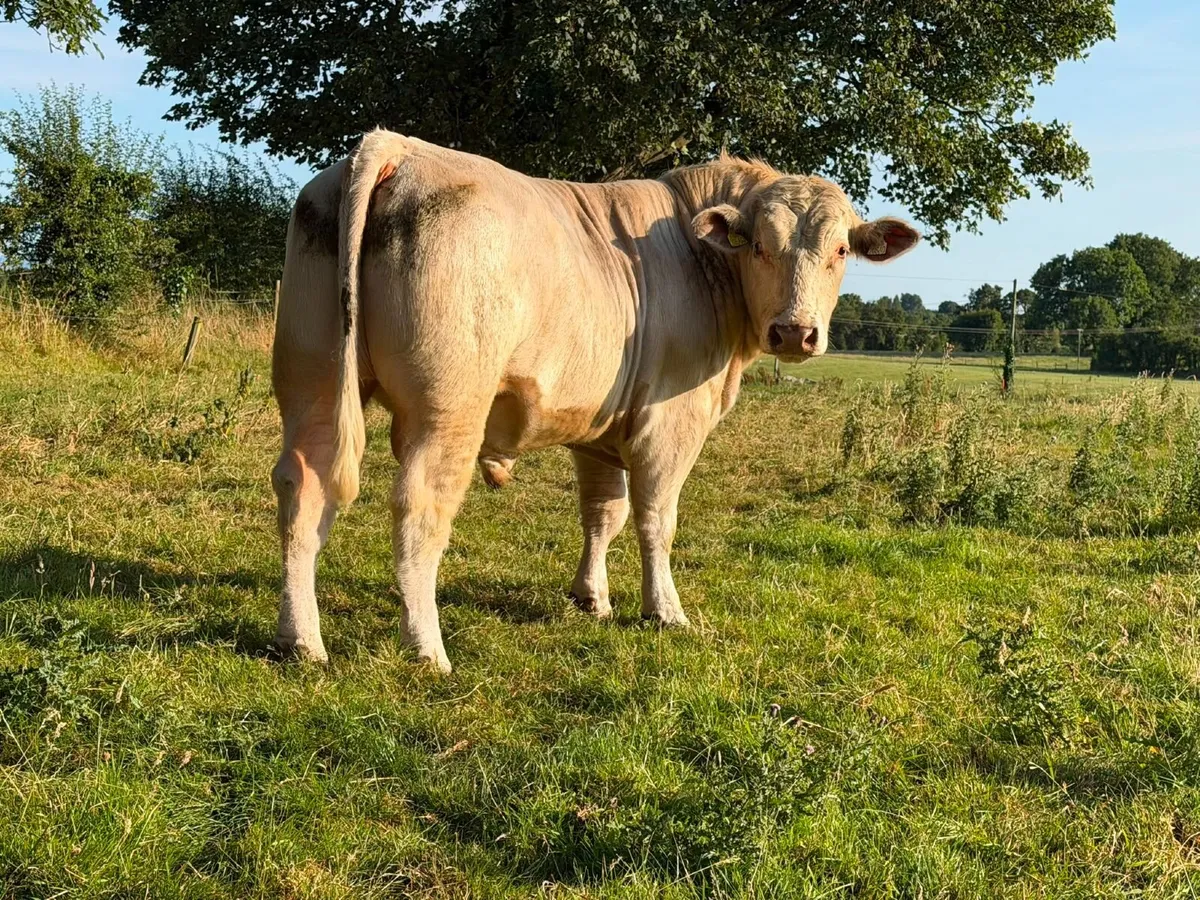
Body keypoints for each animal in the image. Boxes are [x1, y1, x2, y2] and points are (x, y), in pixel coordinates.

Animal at [271, 129, 919, 672]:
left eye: (840, 251)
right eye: (759, 245)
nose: (795, 332)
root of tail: (396, 146)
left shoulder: (597, 426)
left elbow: (604, 512)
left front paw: (592, 598)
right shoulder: (670, 421)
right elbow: (656, 518)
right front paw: (665, 611)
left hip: (313, 380)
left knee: (304, 486)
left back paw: (301, 640)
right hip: (448, 406)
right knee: (421, 504)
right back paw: (426, 647)